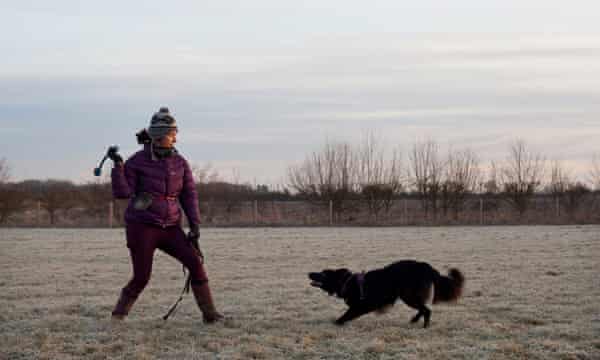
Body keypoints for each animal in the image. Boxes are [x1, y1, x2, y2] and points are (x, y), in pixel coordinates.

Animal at [308, 260, 466, 328]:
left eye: (323, 273)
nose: (309, 273)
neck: (347, 281)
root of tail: (426, 267)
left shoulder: (361, 306)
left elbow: (346, 315)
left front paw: (336, 322)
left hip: (408, 295)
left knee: (426, 310)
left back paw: (424, 326)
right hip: (409, 296)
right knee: (424, 308)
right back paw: (414, 320)